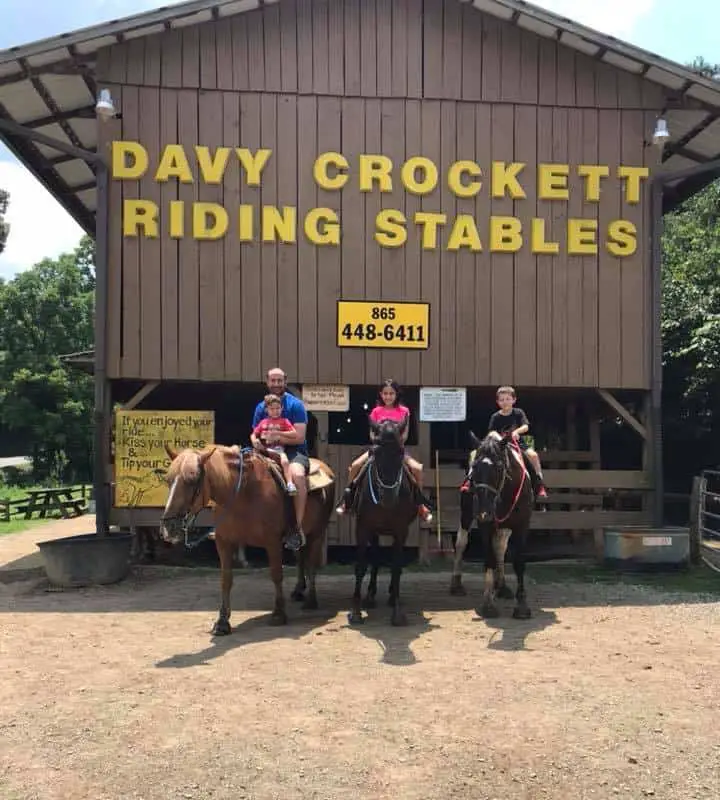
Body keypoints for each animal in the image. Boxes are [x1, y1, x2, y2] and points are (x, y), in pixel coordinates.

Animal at [160, 440, 334, 636]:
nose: (169, 528)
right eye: (168, 480)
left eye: (192, 480)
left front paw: (278, 614)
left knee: (311, 563)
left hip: (317, 533)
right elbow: (226, 580)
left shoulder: (272, 542)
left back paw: (311, 600)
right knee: (300, 557)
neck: (244, 493)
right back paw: (298, 591)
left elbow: (276, 575)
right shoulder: (224, 542)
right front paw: (222, 622)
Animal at [348, 416, 420, 628]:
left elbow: (396, 567)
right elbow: (361, 566)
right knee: (375, 558)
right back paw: (370, 597)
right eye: (375, 451)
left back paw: (390, 595)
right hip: (374, 531)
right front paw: (356, 612)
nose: (388, 498)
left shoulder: (401, 530)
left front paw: (397, 612)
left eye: (401, 451)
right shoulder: (362, 528)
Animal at [450, 432, 536, 620]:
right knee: (461, 543)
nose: (484, 511)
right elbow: (488, 558)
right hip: (467, 514)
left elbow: (518, 561)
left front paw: (522, 605)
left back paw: (502, 586)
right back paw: (456, 584)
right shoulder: (486, 524)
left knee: (500, 547)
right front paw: (488, 604)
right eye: (474, 467)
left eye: (498, 467)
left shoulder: (522, 525)